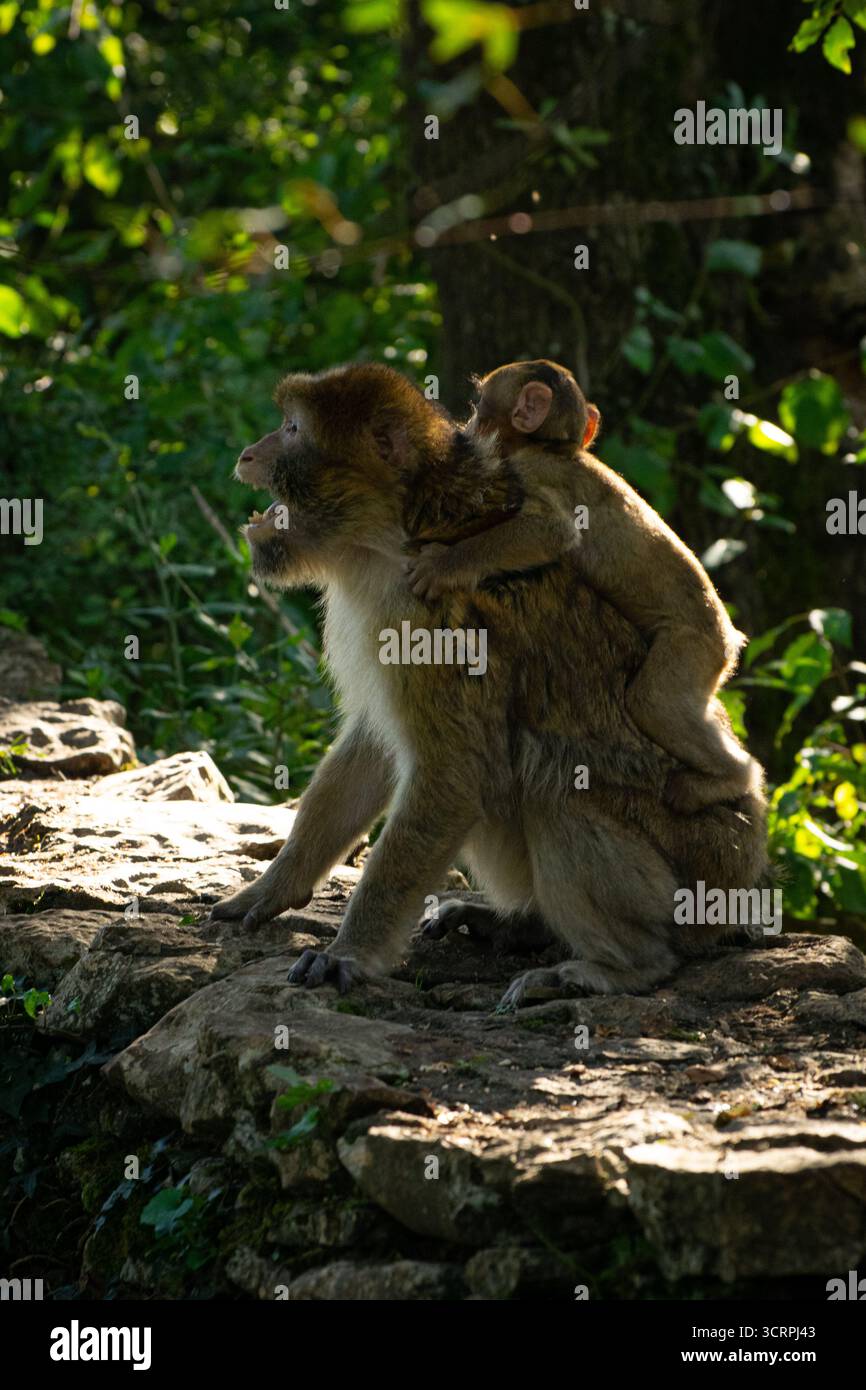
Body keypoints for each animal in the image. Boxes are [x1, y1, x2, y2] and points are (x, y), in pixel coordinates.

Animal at [403, 359, 756, 815]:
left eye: (478, 405)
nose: (468, 425)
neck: (553, 448)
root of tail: (730, 639)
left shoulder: (533, 470)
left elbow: (552, 531)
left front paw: (444, 565)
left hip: (694, 647)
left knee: (653, 700)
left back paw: (733, 777)